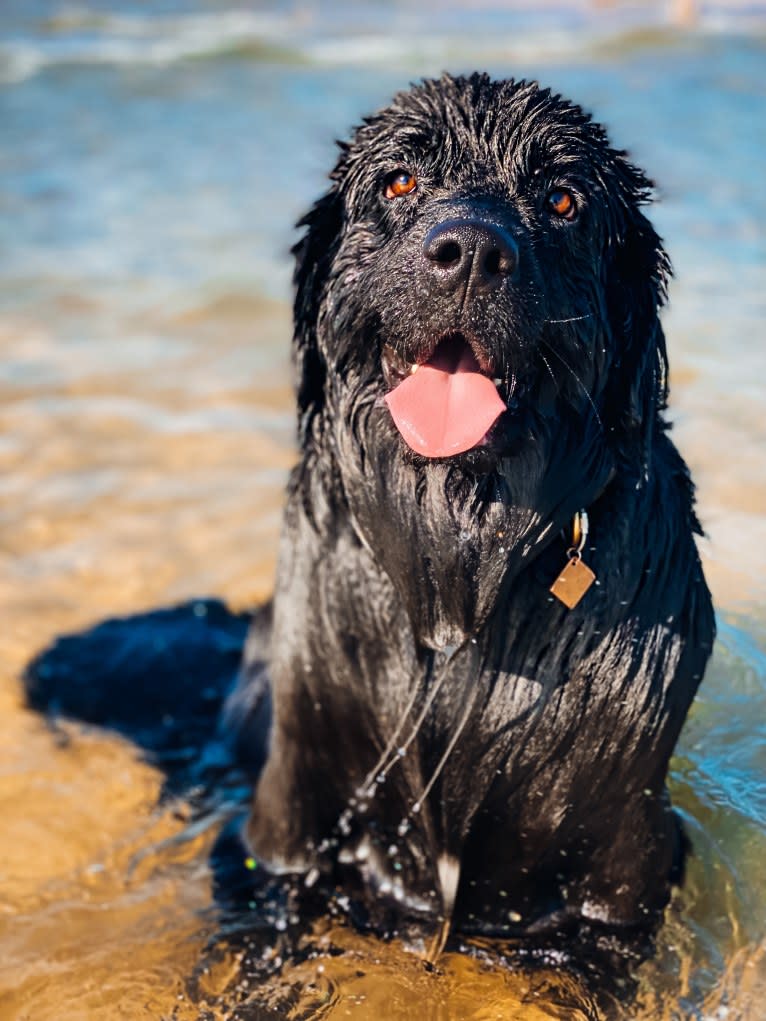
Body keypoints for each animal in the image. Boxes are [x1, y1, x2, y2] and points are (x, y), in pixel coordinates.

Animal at [235, 71, 719, 955]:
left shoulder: (623, 858)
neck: (461, 569)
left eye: (562, 200)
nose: (469, 252)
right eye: (398, 182)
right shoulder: (293, 809)